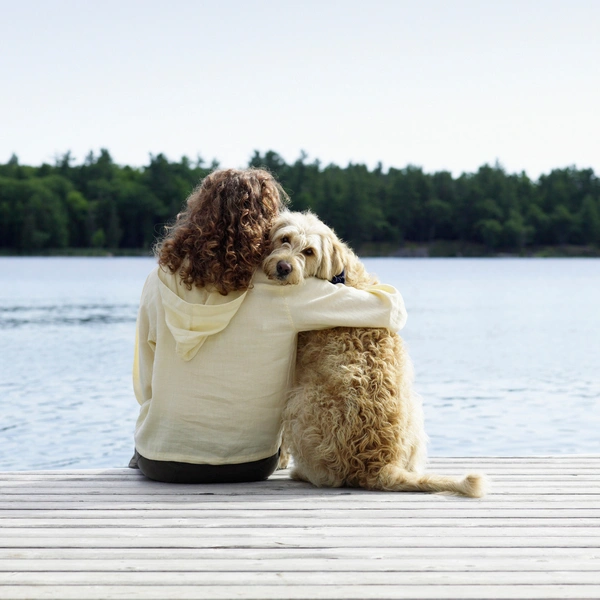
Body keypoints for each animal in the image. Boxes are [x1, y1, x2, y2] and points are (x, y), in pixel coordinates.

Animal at [262, 211, 488, 496]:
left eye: (309, 251)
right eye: (285, 238)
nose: (284, 267)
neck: (339, 275)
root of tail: (379, 464)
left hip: (300, 401)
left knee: (328, 476)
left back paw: (301, 473)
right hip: (415, 409)